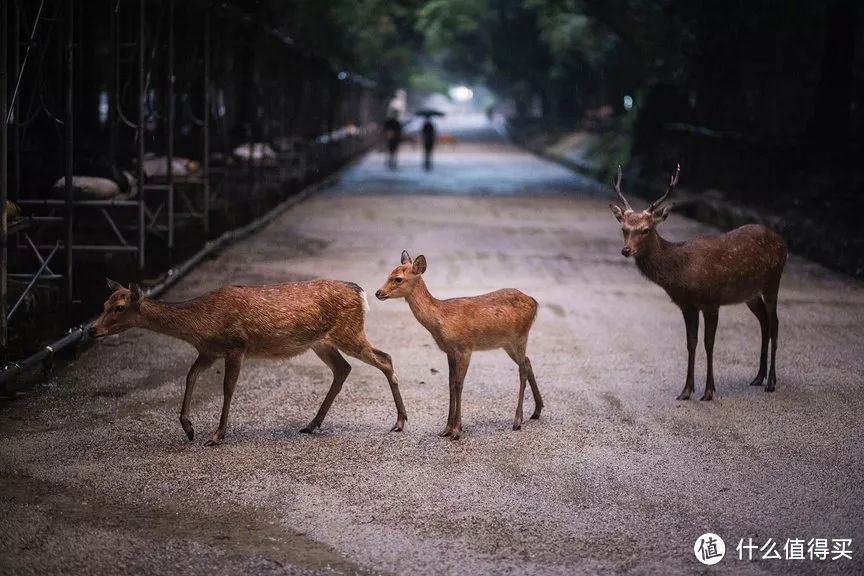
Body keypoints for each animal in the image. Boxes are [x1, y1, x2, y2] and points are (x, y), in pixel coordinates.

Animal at [88, 280, 408, 446]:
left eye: (119, 307)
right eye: (103, 303)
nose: (91, 329)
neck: (200, 323)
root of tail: (361, 292)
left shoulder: (236, 346)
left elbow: (228, 389)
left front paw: (217, 435)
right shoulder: (208, 351)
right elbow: (189, 377)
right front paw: (188, 428)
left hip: (348, 332)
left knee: (386, 358)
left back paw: (400, 421)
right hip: (321, 342)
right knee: (344, 368)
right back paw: (311, 424)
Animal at [376, 250, 544, 438]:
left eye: (398, 279)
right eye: (388, 274)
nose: (378, 293)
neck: (442, 319)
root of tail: (534, 302)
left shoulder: (465, 348)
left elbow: (459, 384)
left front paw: (457, 430)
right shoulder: (449, 351)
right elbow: (450, 383)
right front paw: (446, 429)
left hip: (521, 336)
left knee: (522, 369)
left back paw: (517, 420)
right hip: (507, 343)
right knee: (527, 362)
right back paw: (536, 411)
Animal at [608, 163, 788, 400]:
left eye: (645, 230)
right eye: (624, 229)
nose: (626, 250)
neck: (682, 273)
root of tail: (784, 243)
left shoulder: (712, 301)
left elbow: (708, 344)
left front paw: (709, 391)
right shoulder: (687, 305)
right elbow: (690, 343)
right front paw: (686, 390)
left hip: (773, 281)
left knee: (775, 323)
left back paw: (772, 382)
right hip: (751, 294)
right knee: (764, 323)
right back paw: (759, 377)